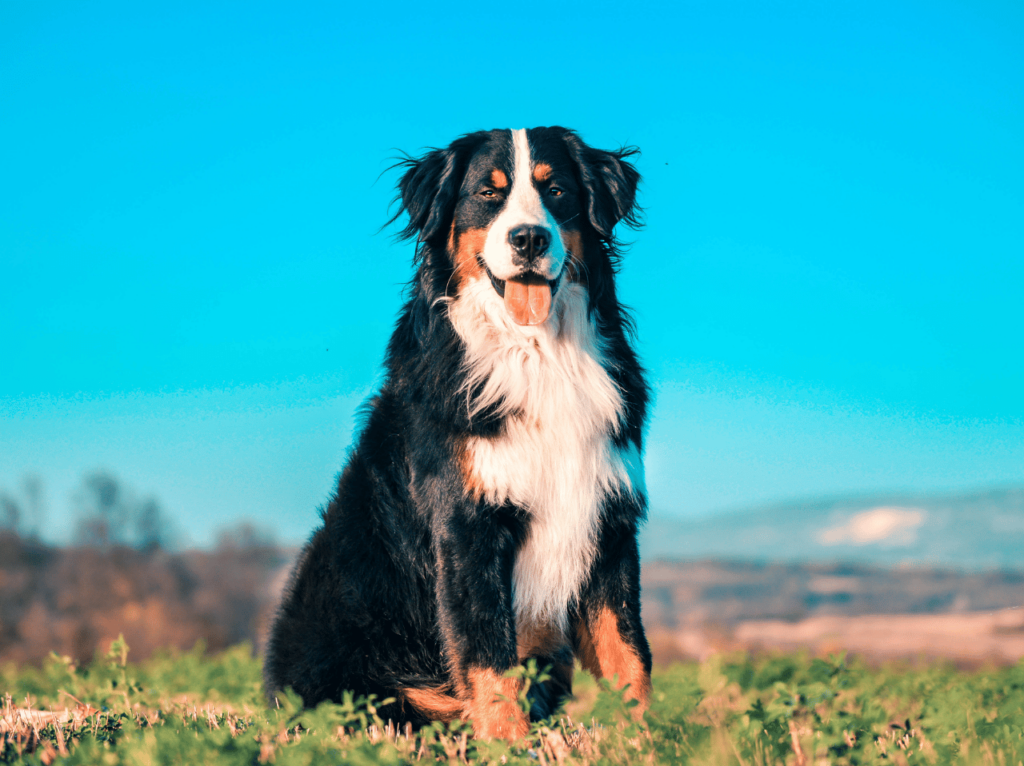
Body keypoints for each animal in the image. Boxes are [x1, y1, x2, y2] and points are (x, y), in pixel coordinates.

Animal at [264, 126, 647, 741]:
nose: (529, 238)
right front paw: (509, 746)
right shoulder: (466, 525)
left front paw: (645, 742)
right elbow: (489, 656)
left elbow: (629, 655)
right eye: (488, 194)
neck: (537, 356)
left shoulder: (610, 521)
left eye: (557, 190)